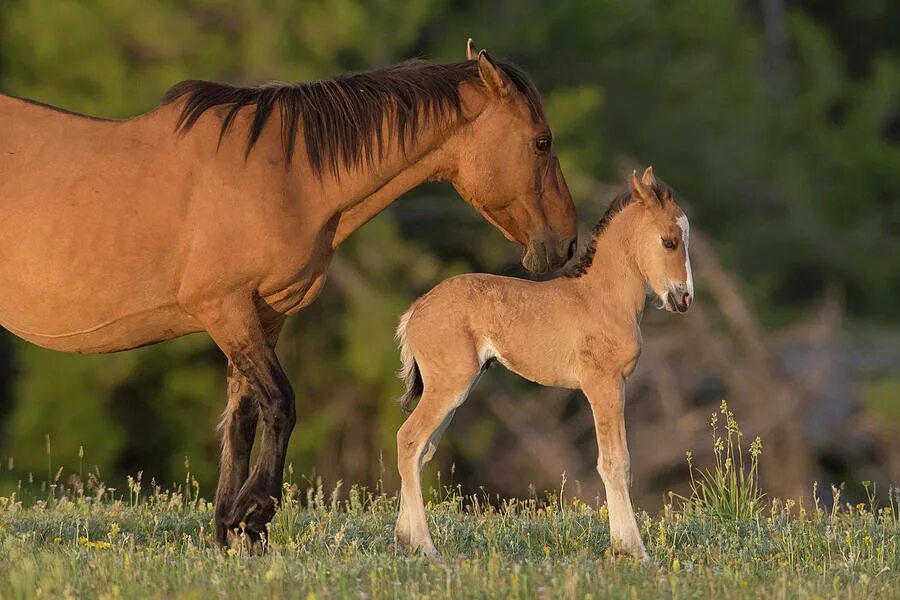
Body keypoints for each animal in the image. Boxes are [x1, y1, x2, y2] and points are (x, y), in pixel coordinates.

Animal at [0, 38, 576, 544]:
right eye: (542, 141)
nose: (566, 244)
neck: (286, 177)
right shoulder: (225, 309)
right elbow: (280, 404)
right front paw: (253, 513)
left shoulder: (264, 314)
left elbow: (242, 418)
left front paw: (231, 531)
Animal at [390, 166, 692, 560]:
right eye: (669, 241)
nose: (684, 298)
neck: (602, 297)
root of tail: (414, 311)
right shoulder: (603, 384)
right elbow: (614, 462)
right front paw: (634, 550)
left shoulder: (619, 385)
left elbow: (620, 464)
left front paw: (621, 545)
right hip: (449, 385)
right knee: (409, 440)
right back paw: (426, 547)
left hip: (455, 390)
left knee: (423, 450)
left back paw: (404, 538)